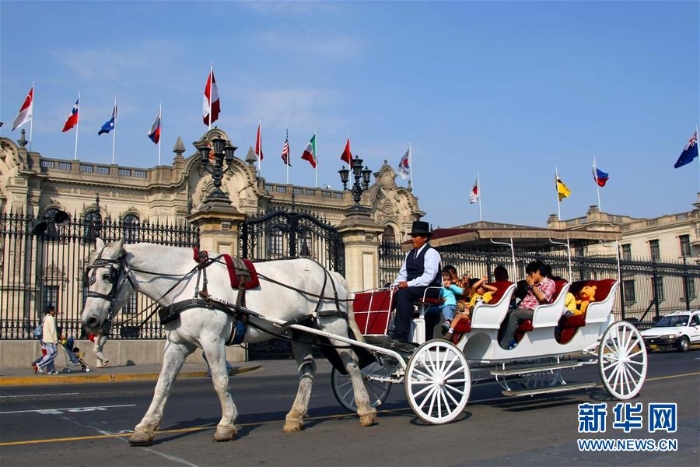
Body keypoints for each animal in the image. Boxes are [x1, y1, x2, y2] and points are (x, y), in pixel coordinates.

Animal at [80, 239, 378, 448]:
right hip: (300, 331)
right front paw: (145, 427)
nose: (89, 320)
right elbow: (162, 384)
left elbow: (220, 380)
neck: (189, 283)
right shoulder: (177, 344)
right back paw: (295, 416)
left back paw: (365, 409)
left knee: (352, 364)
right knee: (307, 370)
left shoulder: (212, 340)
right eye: (88, 277)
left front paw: (226, 423)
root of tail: (331, 271)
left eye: (108, 276)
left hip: (332, 325)